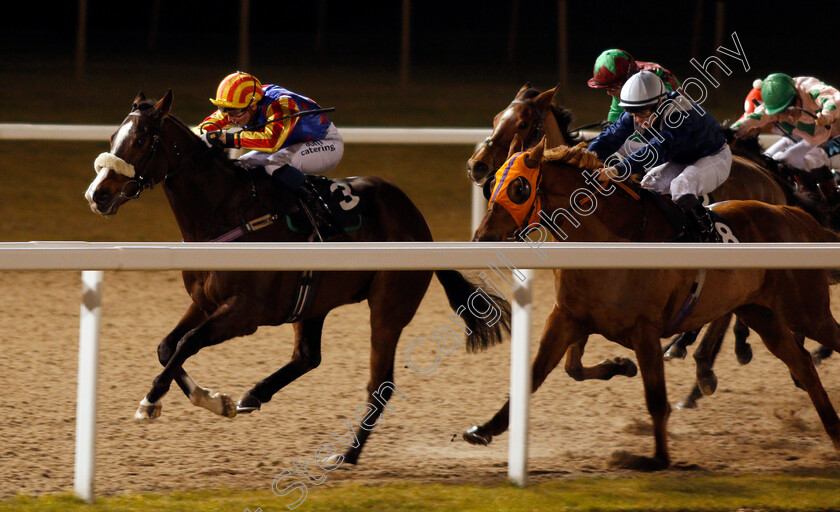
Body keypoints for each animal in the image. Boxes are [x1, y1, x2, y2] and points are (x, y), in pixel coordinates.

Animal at [462, 139, 840, 468]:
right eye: (492, 184)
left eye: (520, 188)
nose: (483, 237)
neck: (609, 240)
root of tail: (793, 215)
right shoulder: (568, 317)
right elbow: (543, 373)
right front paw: (484, 429)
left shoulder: (645, 330)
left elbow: (656, 400)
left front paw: (656, 459)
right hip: (763, 314)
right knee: (802, 363)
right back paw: (833, 432)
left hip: (806, 311)